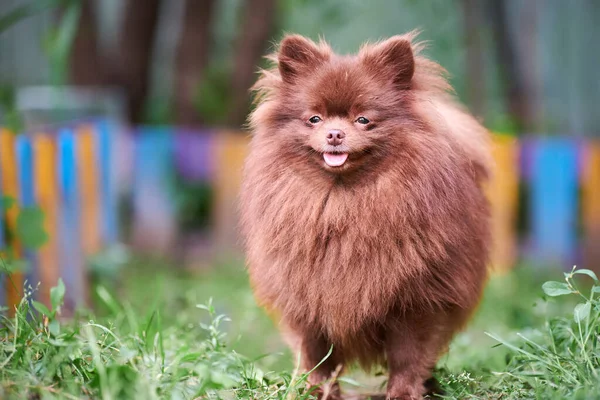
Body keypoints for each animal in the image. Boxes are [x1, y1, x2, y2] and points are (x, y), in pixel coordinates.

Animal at [239, 32, 492, 400]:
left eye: (363, 119)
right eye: (314, 119)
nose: (335, 134)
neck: (344, 202)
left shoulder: (415, 301)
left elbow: (407, 354)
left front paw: (403, 392)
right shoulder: (306, 296)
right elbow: (317, 355)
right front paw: (316, 392)